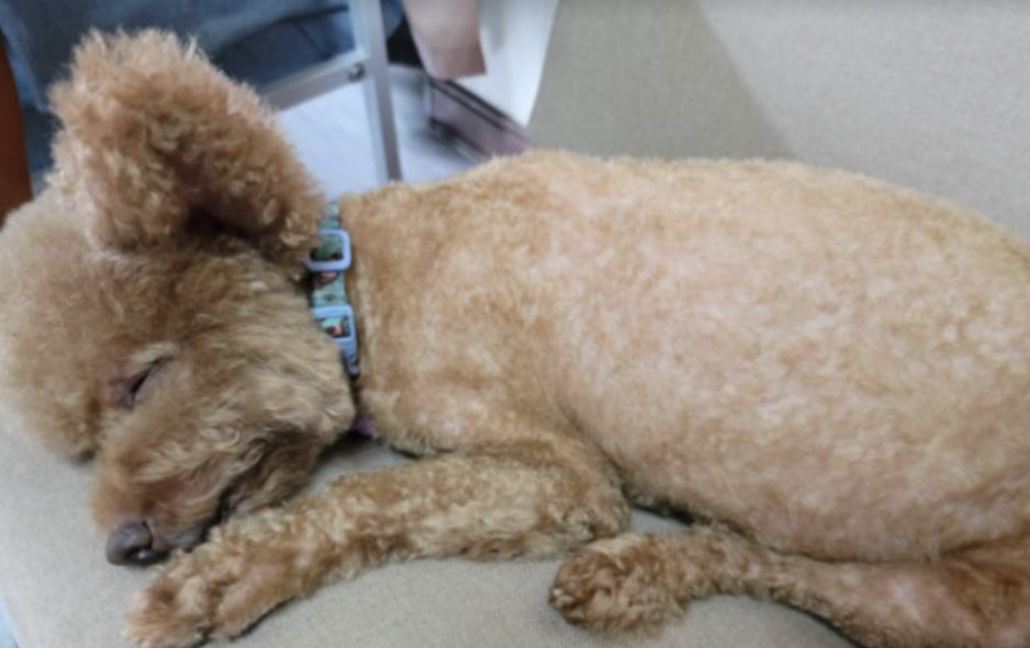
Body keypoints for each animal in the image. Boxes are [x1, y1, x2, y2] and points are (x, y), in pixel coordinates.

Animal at [1, 31, 1028, 648]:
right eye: (83, 443)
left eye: (141, 381)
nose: (122, 544)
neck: (361, 287)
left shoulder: (563, 476)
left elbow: (371, 496)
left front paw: (215, 583)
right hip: (941, 608)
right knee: (789, 569)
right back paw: (630, 573)